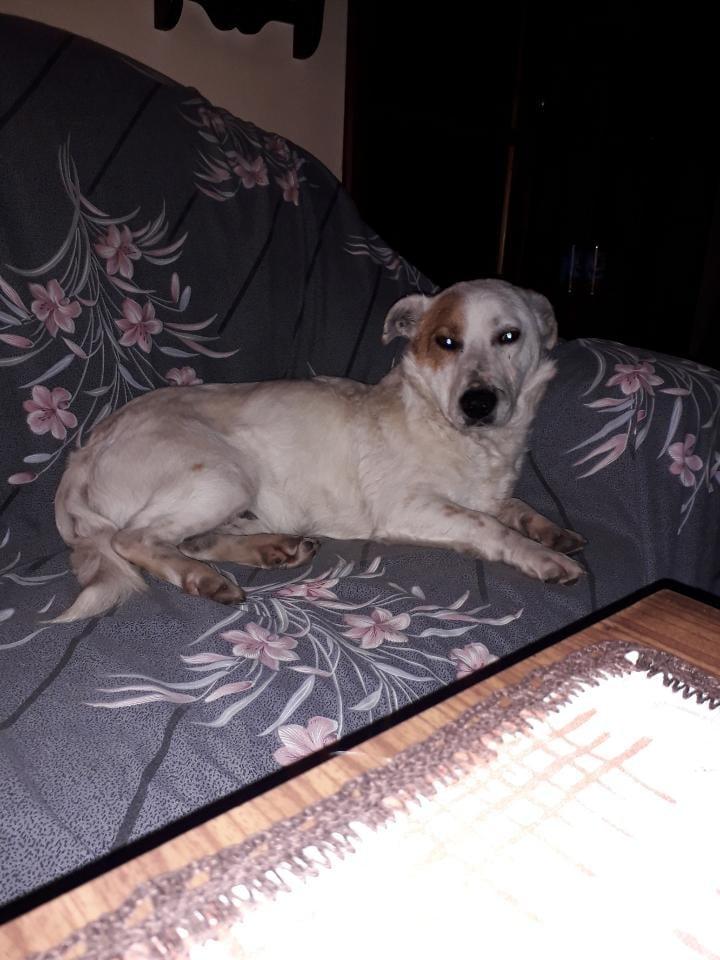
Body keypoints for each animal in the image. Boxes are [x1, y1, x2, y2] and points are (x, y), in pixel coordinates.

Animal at [53, 279, 585, 622]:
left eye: (509, 336)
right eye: (446, 342)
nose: (478, 403)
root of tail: (81, 459)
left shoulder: (489, 493)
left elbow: (514, 507)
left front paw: (551, 532)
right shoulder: (408, 508)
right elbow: (488, 525)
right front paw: (542, 557)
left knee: (189, 538)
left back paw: (271, 548)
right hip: (221, 474)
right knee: (135, 539)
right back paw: (201, 577)